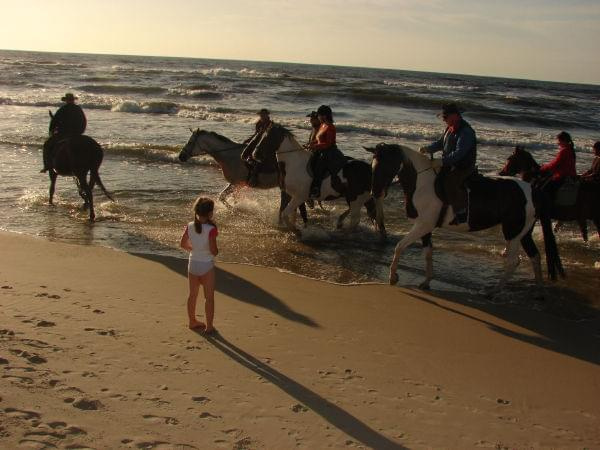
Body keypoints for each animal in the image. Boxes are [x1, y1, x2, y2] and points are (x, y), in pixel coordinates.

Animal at [364, 142, 564, 294]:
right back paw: (538, 290)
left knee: (513, 261)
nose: (375, 192)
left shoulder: (422, 226)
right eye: (373, 166)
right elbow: (428, 253)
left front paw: (392, 277)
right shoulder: (426, 228)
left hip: (513, 232)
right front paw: (427, 281)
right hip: (524, 233)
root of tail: (533, 190)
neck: (422, 183)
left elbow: (399, 246)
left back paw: (494, 291)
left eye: (386, 165)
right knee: (535, 256)